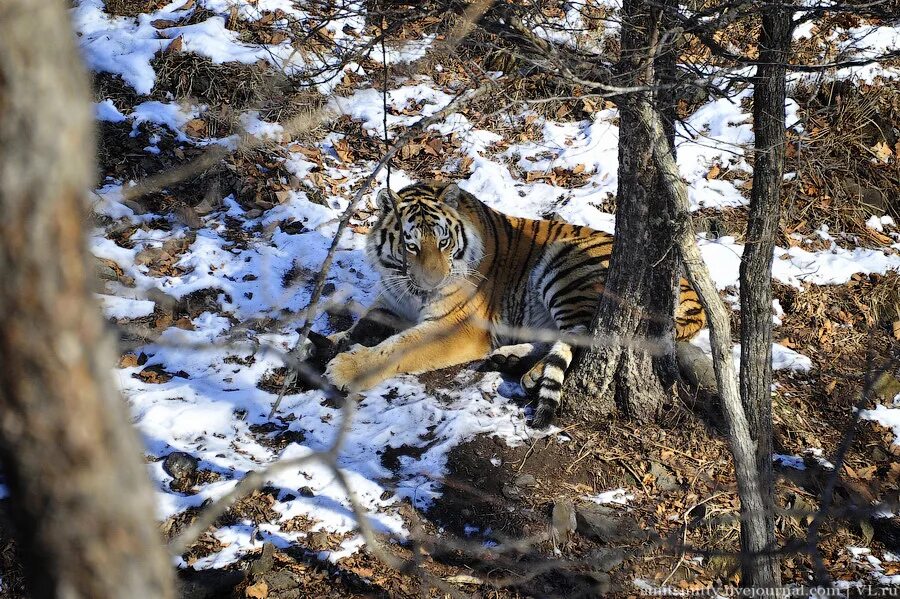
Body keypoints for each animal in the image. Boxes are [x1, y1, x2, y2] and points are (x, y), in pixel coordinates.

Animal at [322, 180, 704, 428]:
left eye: (444, 243)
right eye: (410, 246)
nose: (434, 283)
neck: (413, 293)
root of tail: (687, 288)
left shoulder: (456, 326)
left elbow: (398, 346)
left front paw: (346, 368)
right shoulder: (390, 303)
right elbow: (363, 324)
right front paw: (330, 343)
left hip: (566, 267)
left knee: (585, 334)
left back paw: (531, 372)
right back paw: (513, 361)